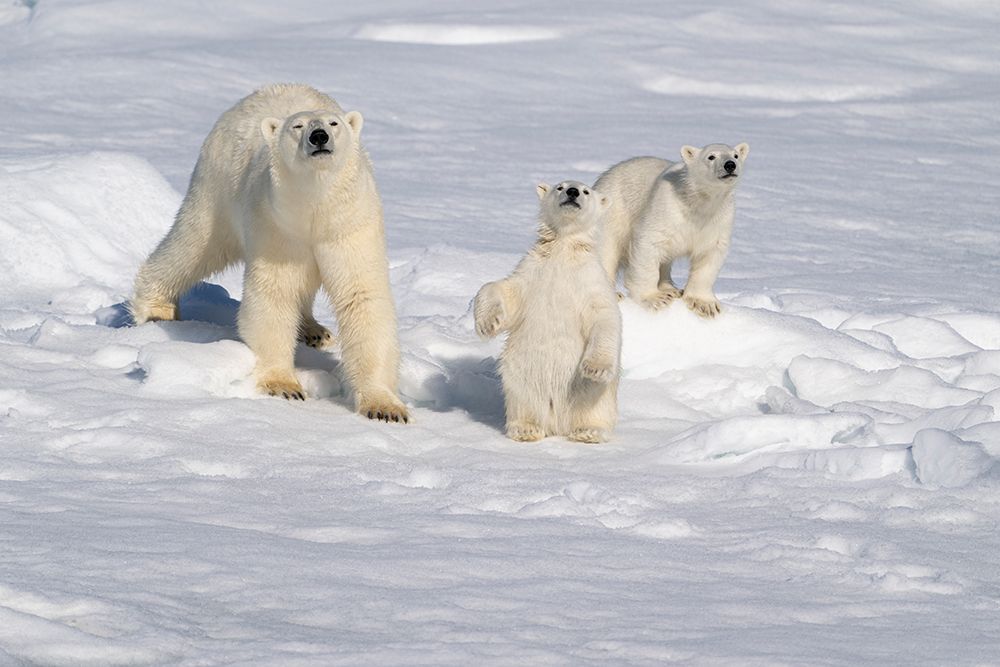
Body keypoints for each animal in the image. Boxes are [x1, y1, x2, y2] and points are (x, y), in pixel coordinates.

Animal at [130, 83, 408, 423]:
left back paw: (314, 330)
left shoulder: (350, 226)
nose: (319, 137)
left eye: (334, 123)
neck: (314, 210)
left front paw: (385, 407)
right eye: (297, 126)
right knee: (191, 245)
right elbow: (274, 294)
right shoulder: (275, 226)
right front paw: (284, 386)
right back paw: (156, 308)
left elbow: (362, 298)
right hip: (216, 188)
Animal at [474, 180, 621, 443]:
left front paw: (594, 368)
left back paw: (588, 431)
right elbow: (505, 290)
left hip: (593, 396)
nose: (572, 192)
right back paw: (526, 429)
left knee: (594, 406)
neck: (563, 248)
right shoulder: (532, 271)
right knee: (524, 400)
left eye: (586, 191)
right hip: (521, 380)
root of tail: (557, 424)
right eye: (560, 187)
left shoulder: (591, 280)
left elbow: (604, 316)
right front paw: (488, 323)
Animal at [594, 142, 749, 317]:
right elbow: (649, 244)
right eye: (711, 156)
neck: (696, 202)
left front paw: (705, 304)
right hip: (613, 212)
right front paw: (655, 299)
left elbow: (710, 254)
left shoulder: (719, 220)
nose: (730, 165)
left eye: (735, 155)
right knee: (606, 250)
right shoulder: (666, 209)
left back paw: (670, 289)